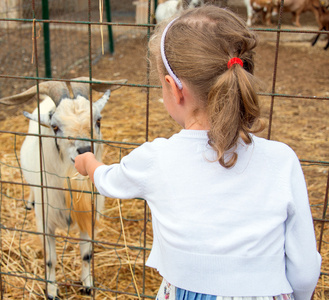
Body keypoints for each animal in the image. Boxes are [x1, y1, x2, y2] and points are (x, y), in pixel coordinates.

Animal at [0, 78, 125, 300]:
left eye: (98, 120)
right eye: (55, 126)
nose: (84, 150)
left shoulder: (88, 216)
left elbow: (86, 254)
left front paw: (87, 285)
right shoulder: (45, 222)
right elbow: (50, 259)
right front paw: (51, 291)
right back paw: (29, 203)